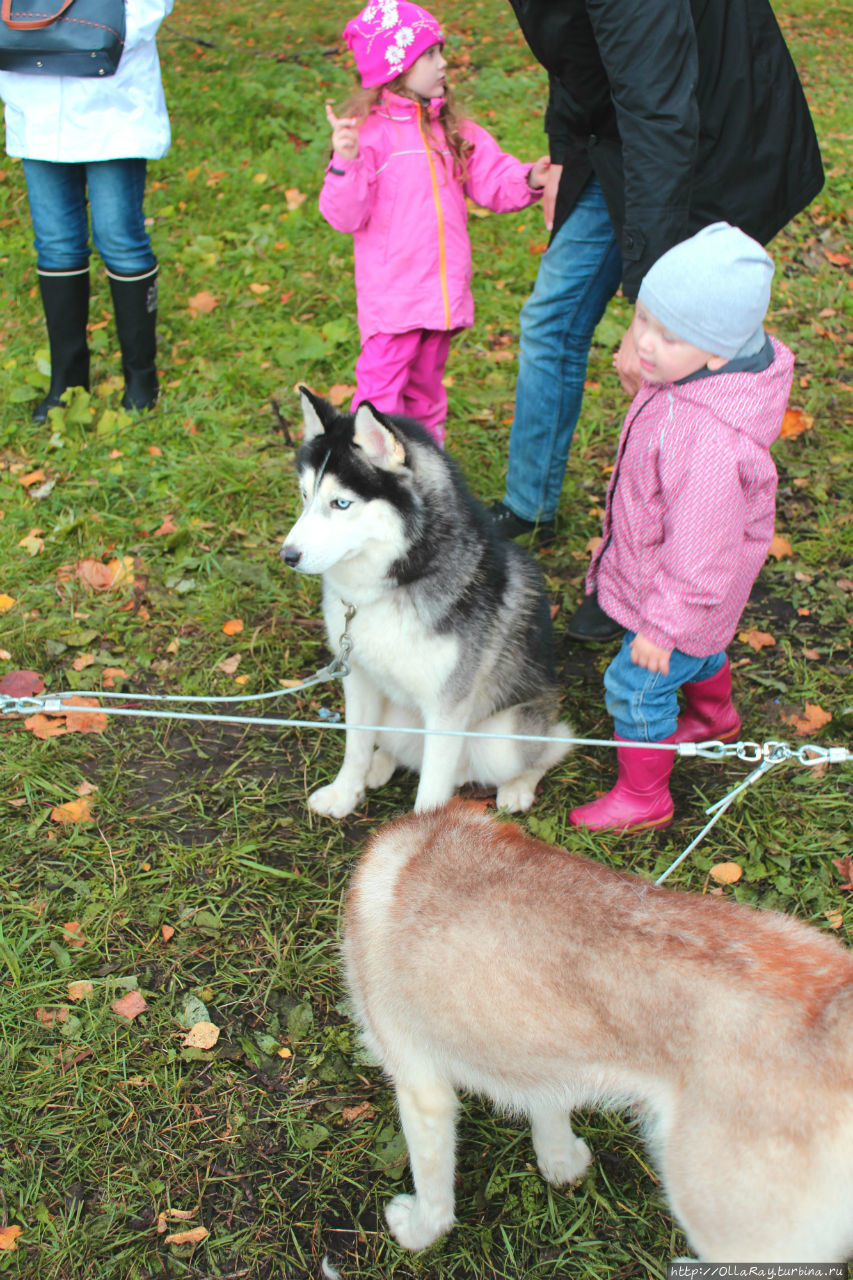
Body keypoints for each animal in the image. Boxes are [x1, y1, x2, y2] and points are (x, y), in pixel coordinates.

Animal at [343, 803, 850, 1264]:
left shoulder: (419, 1085)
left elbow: (434, 1193)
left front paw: (418, 1232)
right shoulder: (543, 1056)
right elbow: (549, 1118)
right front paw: (562, 1165)